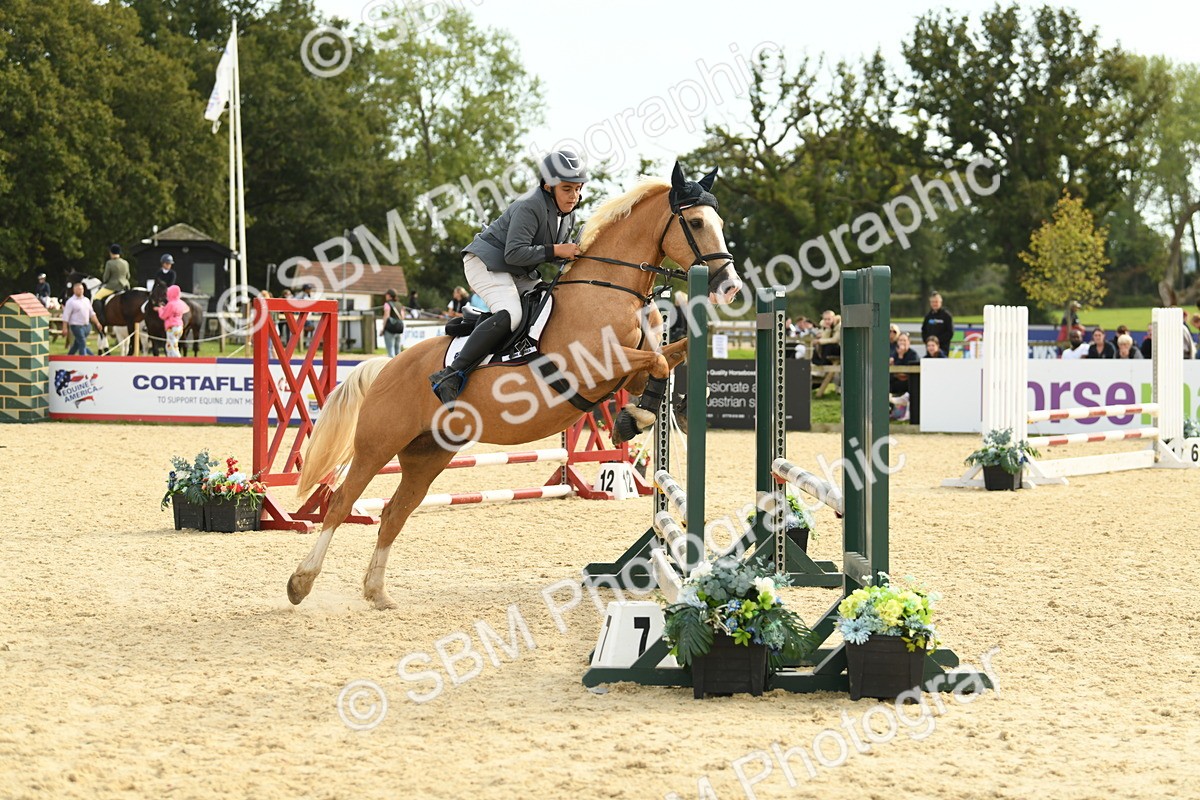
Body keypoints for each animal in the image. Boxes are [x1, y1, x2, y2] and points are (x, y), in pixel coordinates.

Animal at [286, 163, 743, 610]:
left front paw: (649, 413)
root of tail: (386, 367)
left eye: (720, 222)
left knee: (395, 513)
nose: (731, 286)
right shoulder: (594, 367)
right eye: (697, 222)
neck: (610, 290)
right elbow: (660, 360)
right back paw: (301, 583)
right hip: (377, 445)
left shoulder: (627, 374)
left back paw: (376, 592)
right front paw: (635, 419)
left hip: (427, 454)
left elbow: (667, 360)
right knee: (341, 503)